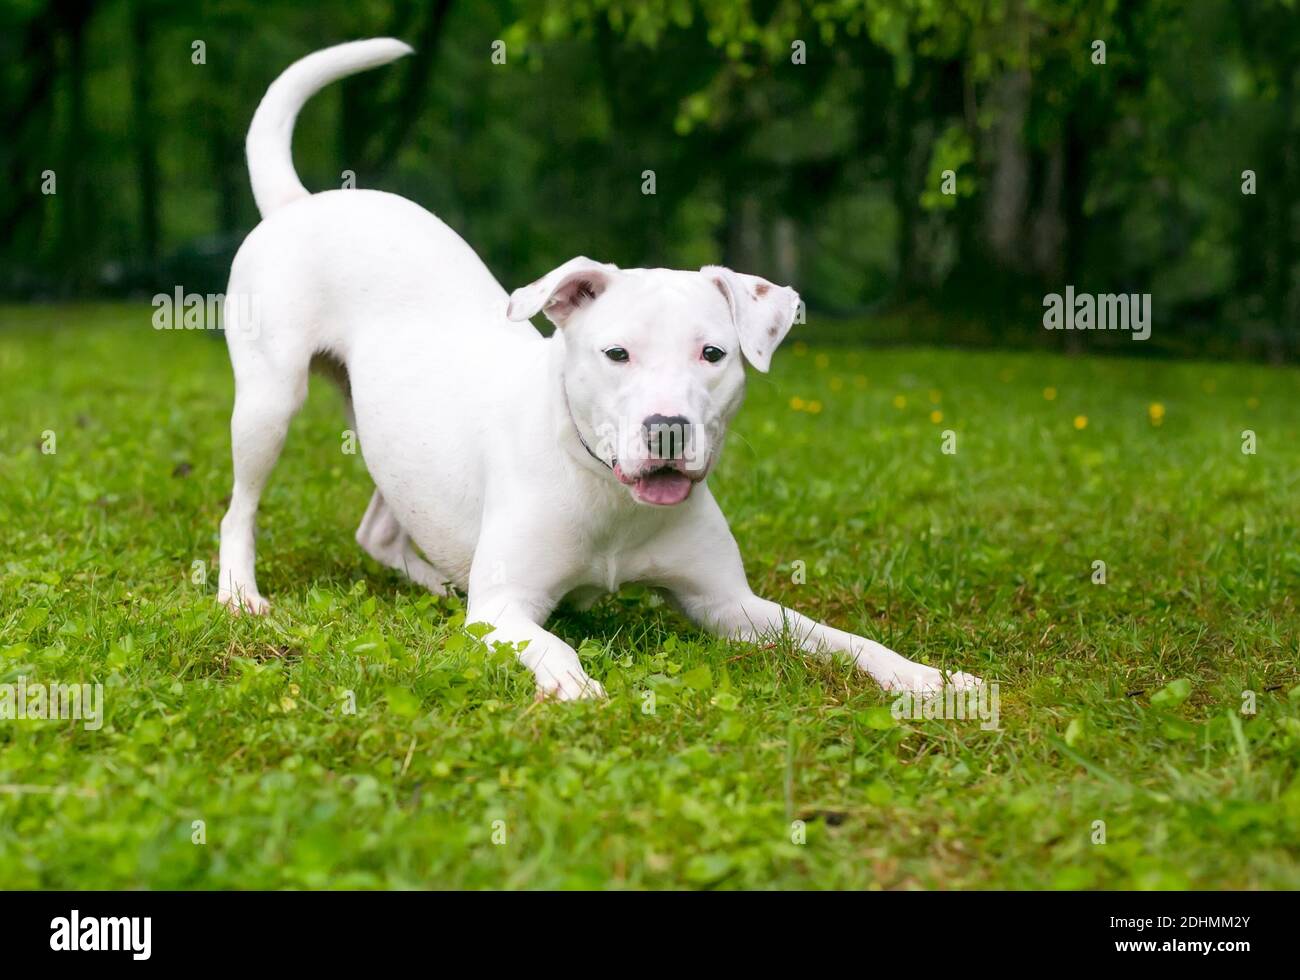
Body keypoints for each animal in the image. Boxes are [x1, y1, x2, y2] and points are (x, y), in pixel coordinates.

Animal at [218, 38, 977, 696]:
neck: (605, 489)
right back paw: (240, 594)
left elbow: (837, 638)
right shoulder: (506, 607)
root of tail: (303, 202)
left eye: (713, 354)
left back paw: (433, 579)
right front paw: (573, 683)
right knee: (239, 510)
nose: (668, 428)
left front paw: (931, 679)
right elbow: (550, 641)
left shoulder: (730, 604)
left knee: (379, 525)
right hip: (269, 401)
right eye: (617, 353)